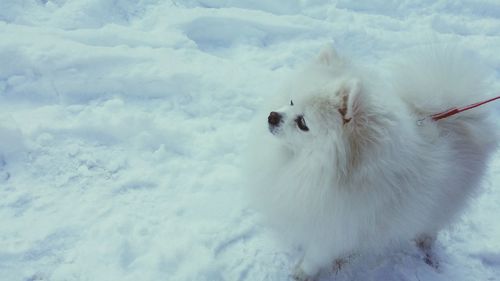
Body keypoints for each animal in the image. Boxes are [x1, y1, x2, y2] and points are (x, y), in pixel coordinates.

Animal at [248, 47, 498, 278]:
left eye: (303, 123)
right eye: (291, 101)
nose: (272, 116)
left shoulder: (337, 226)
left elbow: (315, 255)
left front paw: (302, 272)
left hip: (443, 203)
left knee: (430, 228)